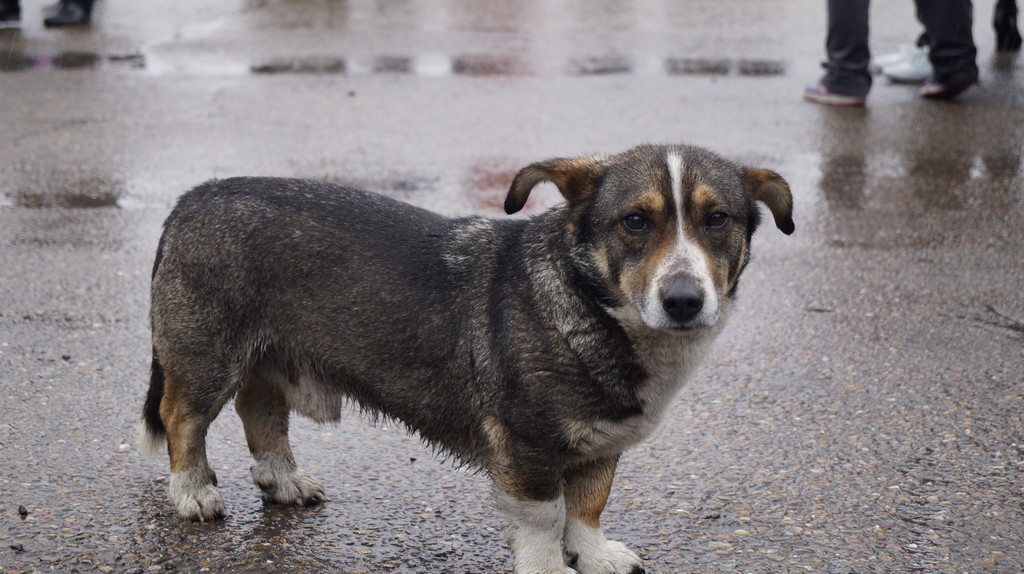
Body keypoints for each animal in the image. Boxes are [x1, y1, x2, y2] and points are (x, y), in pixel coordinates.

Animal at [138, 144, 790, 572]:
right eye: (635, 221)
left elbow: (588, 505)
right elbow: (546, 521)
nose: (683, 301)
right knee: (183, 419)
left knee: (262, 413)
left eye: (717, 219)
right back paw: (193, 491)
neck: (594, 306)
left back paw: (283, 479)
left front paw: (596, 554)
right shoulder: (527, 450)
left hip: (265, 361)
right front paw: (552, 567)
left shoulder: (601, 447)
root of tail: (190, 201)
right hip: (207, 361)